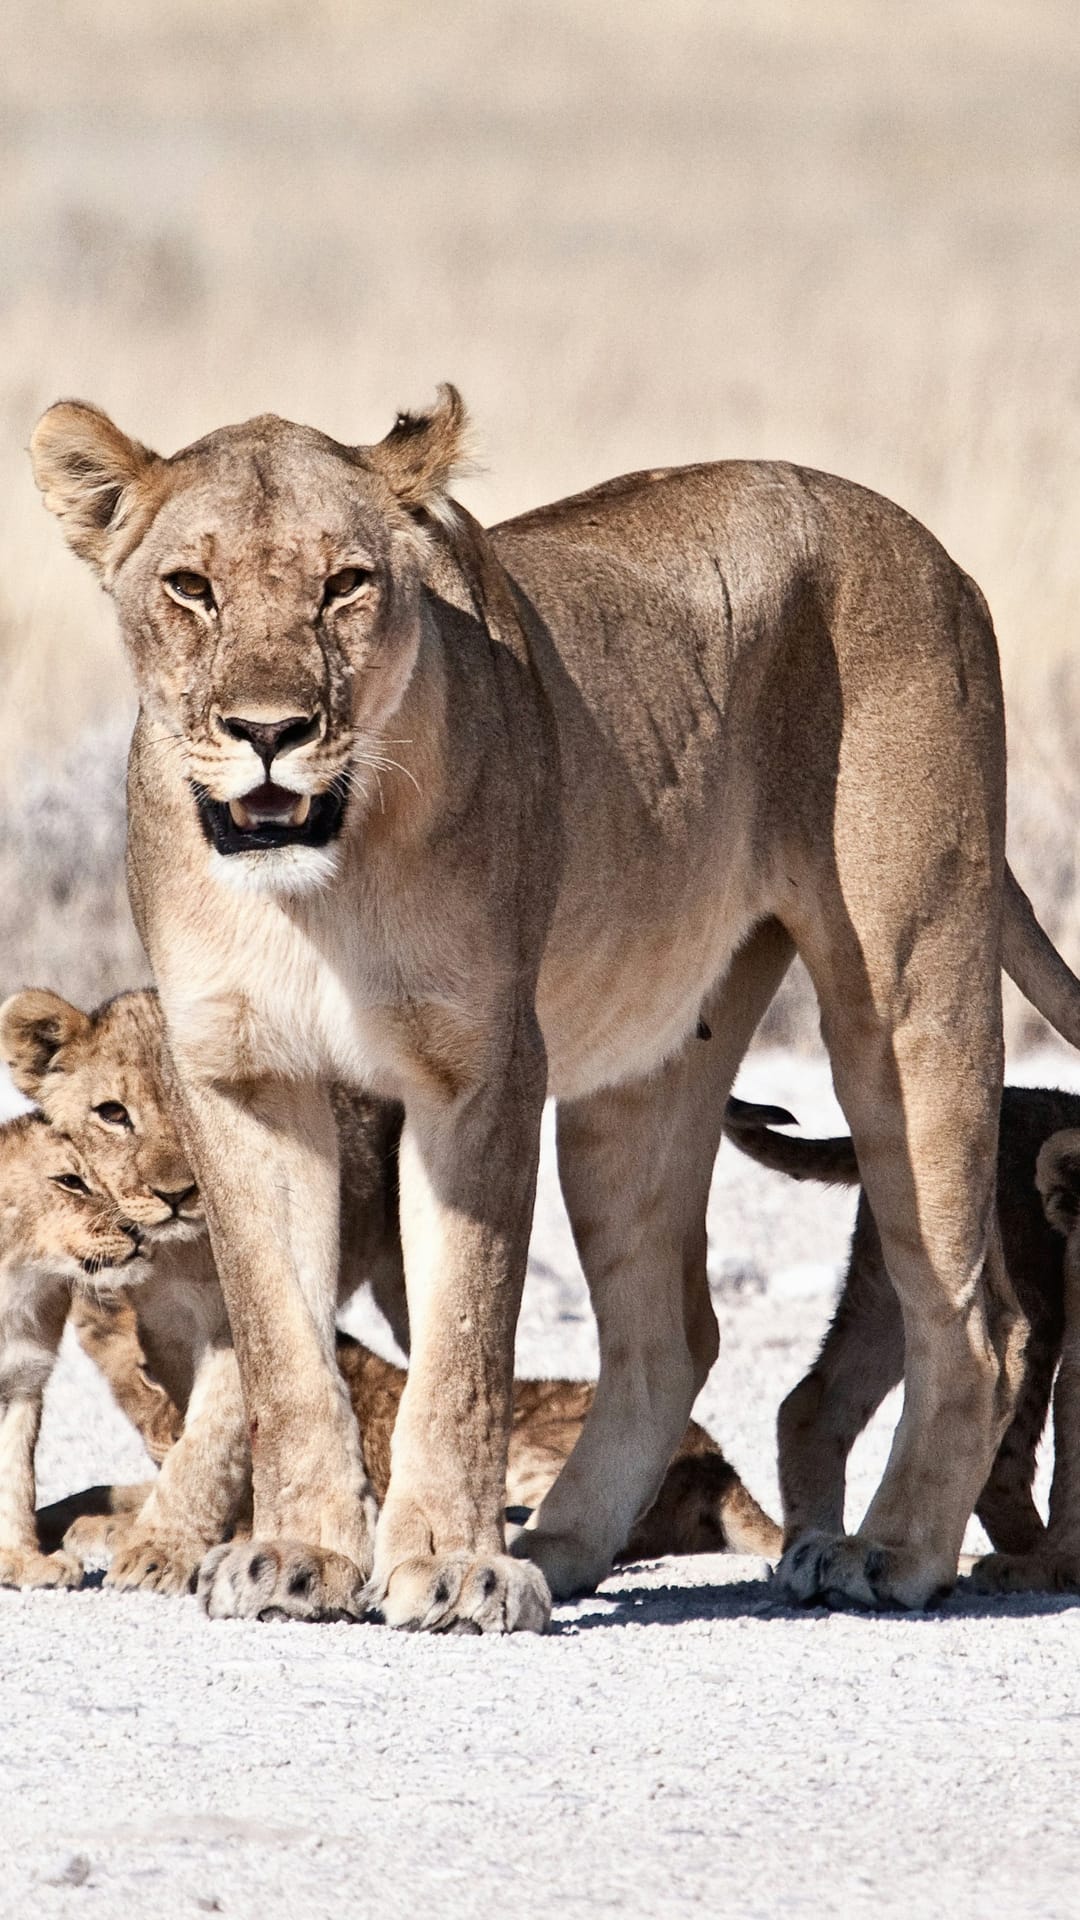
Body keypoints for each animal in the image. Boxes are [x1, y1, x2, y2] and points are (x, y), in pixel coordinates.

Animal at [725, 1089, 1080, 1595]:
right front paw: (1059, 1560)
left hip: (889, 1291)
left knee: (810, 1401)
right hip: (1024, 1299)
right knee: (1003, 1465)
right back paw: (1020, 1558)